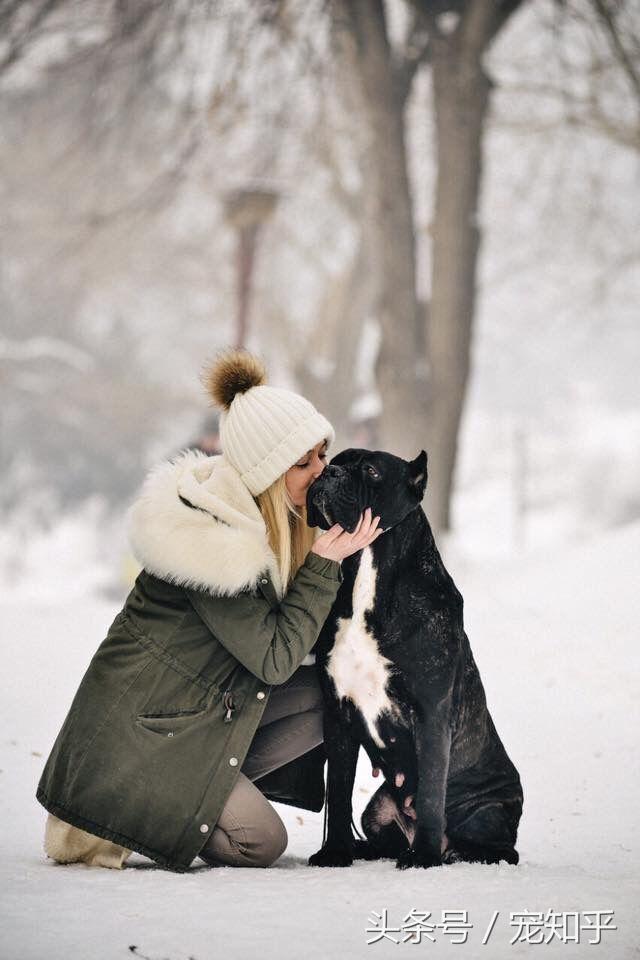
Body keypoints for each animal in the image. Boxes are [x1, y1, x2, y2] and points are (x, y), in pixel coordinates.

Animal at [308, 450, 524, 872]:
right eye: (334, 460)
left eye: (371, 471)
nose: (329, 472)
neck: (367, 575)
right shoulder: (337, 714)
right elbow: (337, 792)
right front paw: (335, 852)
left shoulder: (430, 713)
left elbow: (429, 794)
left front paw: (424, 857)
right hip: (377, 809)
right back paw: (366, 849)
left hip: (488, 810)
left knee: (502, 850)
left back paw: (447, 851)